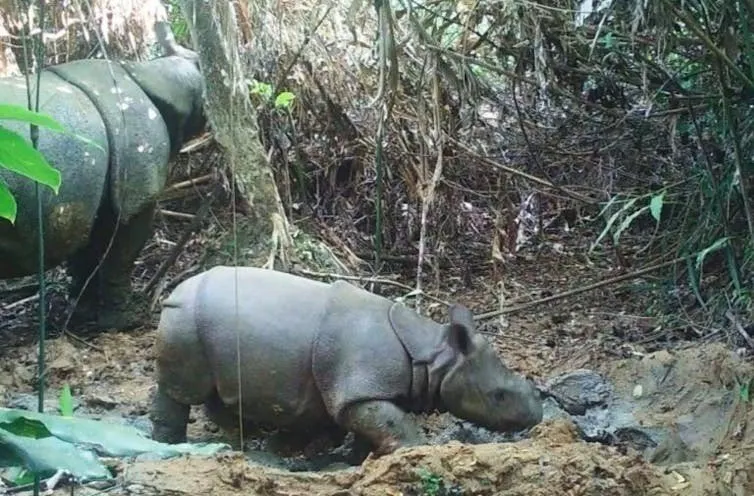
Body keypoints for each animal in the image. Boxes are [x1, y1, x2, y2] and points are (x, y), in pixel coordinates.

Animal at [0, 22, 206, 330]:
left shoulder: (85, 196)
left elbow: (85, 253)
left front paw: (81, 314)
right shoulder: (136, 191)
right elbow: (122, 253)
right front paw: (126, 321)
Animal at [150, 266, 544, 456]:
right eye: (498, 396)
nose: (536, 416)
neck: (434, 358)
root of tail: (173, 291)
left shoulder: (362, 390)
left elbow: (377, 424)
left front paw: (355, 457)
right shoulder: (358, 390)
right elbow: (389, 422)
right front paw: (419, 450)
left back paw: (247, 441)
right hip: (185, 320)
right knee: (181, 389)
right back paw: (170, 445)